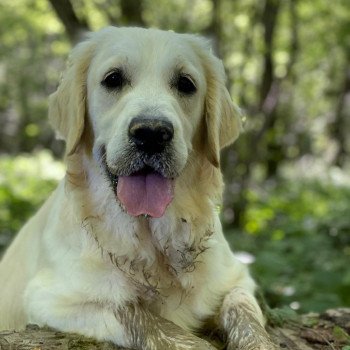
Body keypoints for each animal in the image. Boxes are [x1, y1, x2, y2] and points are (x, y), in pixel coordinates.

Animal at [0, 28, 276, 350]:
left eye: (186, 84)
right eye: (113, 79)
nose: (152, 133)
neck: (152, 239)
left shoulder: (237, 279)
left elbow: (245, 314)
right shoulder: (51, 298)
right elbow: (137, 312)